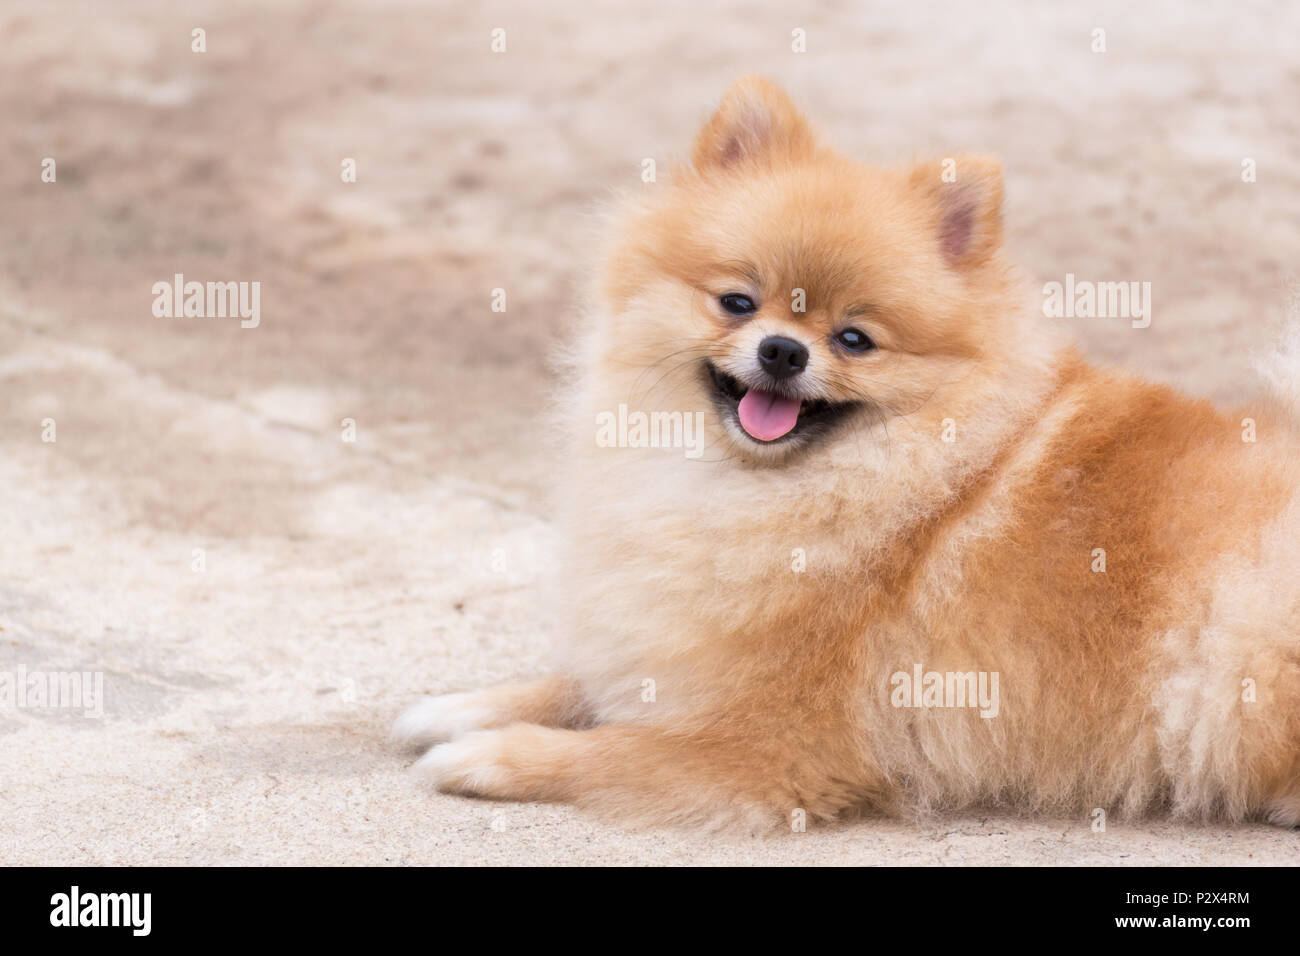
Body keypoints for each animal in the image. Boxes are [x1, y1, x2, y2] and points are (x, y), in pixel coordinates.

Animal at [392, 78, 1300, 832]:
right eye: (736, 302)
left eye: (855, 339)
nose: (783, 350)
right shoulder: (671, 645)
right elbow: (577, 679)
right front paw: (455, 707)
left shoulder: (767, 744)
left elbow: (610, 750)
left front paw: (485, 753)